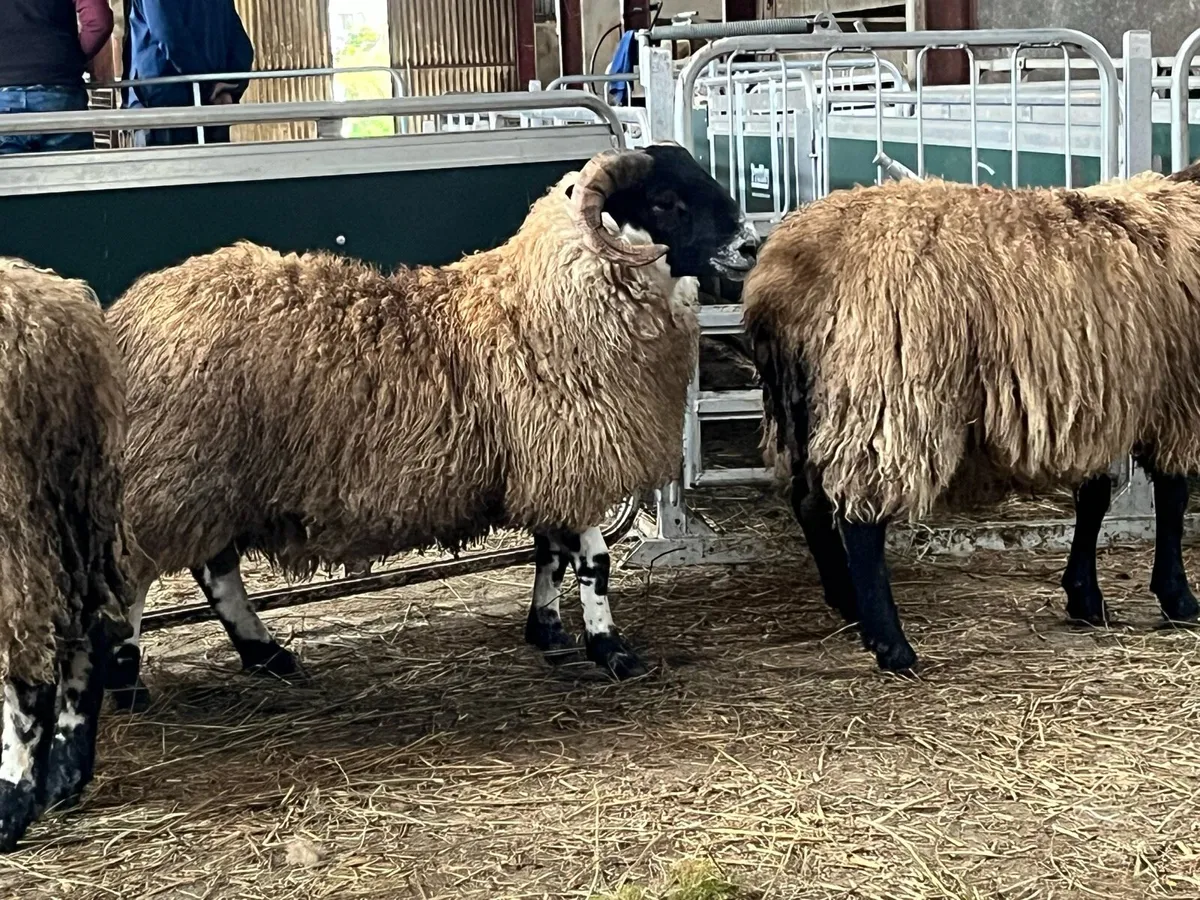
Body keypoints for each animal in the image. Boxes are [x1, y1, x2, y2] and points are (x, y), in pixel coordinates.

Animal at [103, 144, 759, 711]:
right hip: (175, 472)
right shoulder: (568, 455)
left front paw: (547, 631)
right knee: (135, 576)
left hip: (210, 478)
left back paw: (266, 655)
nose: (752, 246)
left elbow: (548, 553)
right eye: (667, 201)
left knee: (213, 568)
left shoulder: (542, 463)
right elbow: (592, 564)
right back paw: (128, 682)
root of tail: (128, 317)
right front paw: (613, 650)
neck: (545, 304)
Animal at [744, 166, 1200, 674]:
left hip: (799, 405)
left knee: (808, 499)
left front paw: (1085, 597)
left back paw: (849, 604)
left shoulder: (1097, 404)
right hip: (886, 390)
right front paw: (1178, 598)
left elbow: (1095, 497)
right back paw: (891, 645)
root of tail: (790, 269)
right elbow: (1172, 498)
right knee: (860, 517)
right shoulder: (1177, 400)